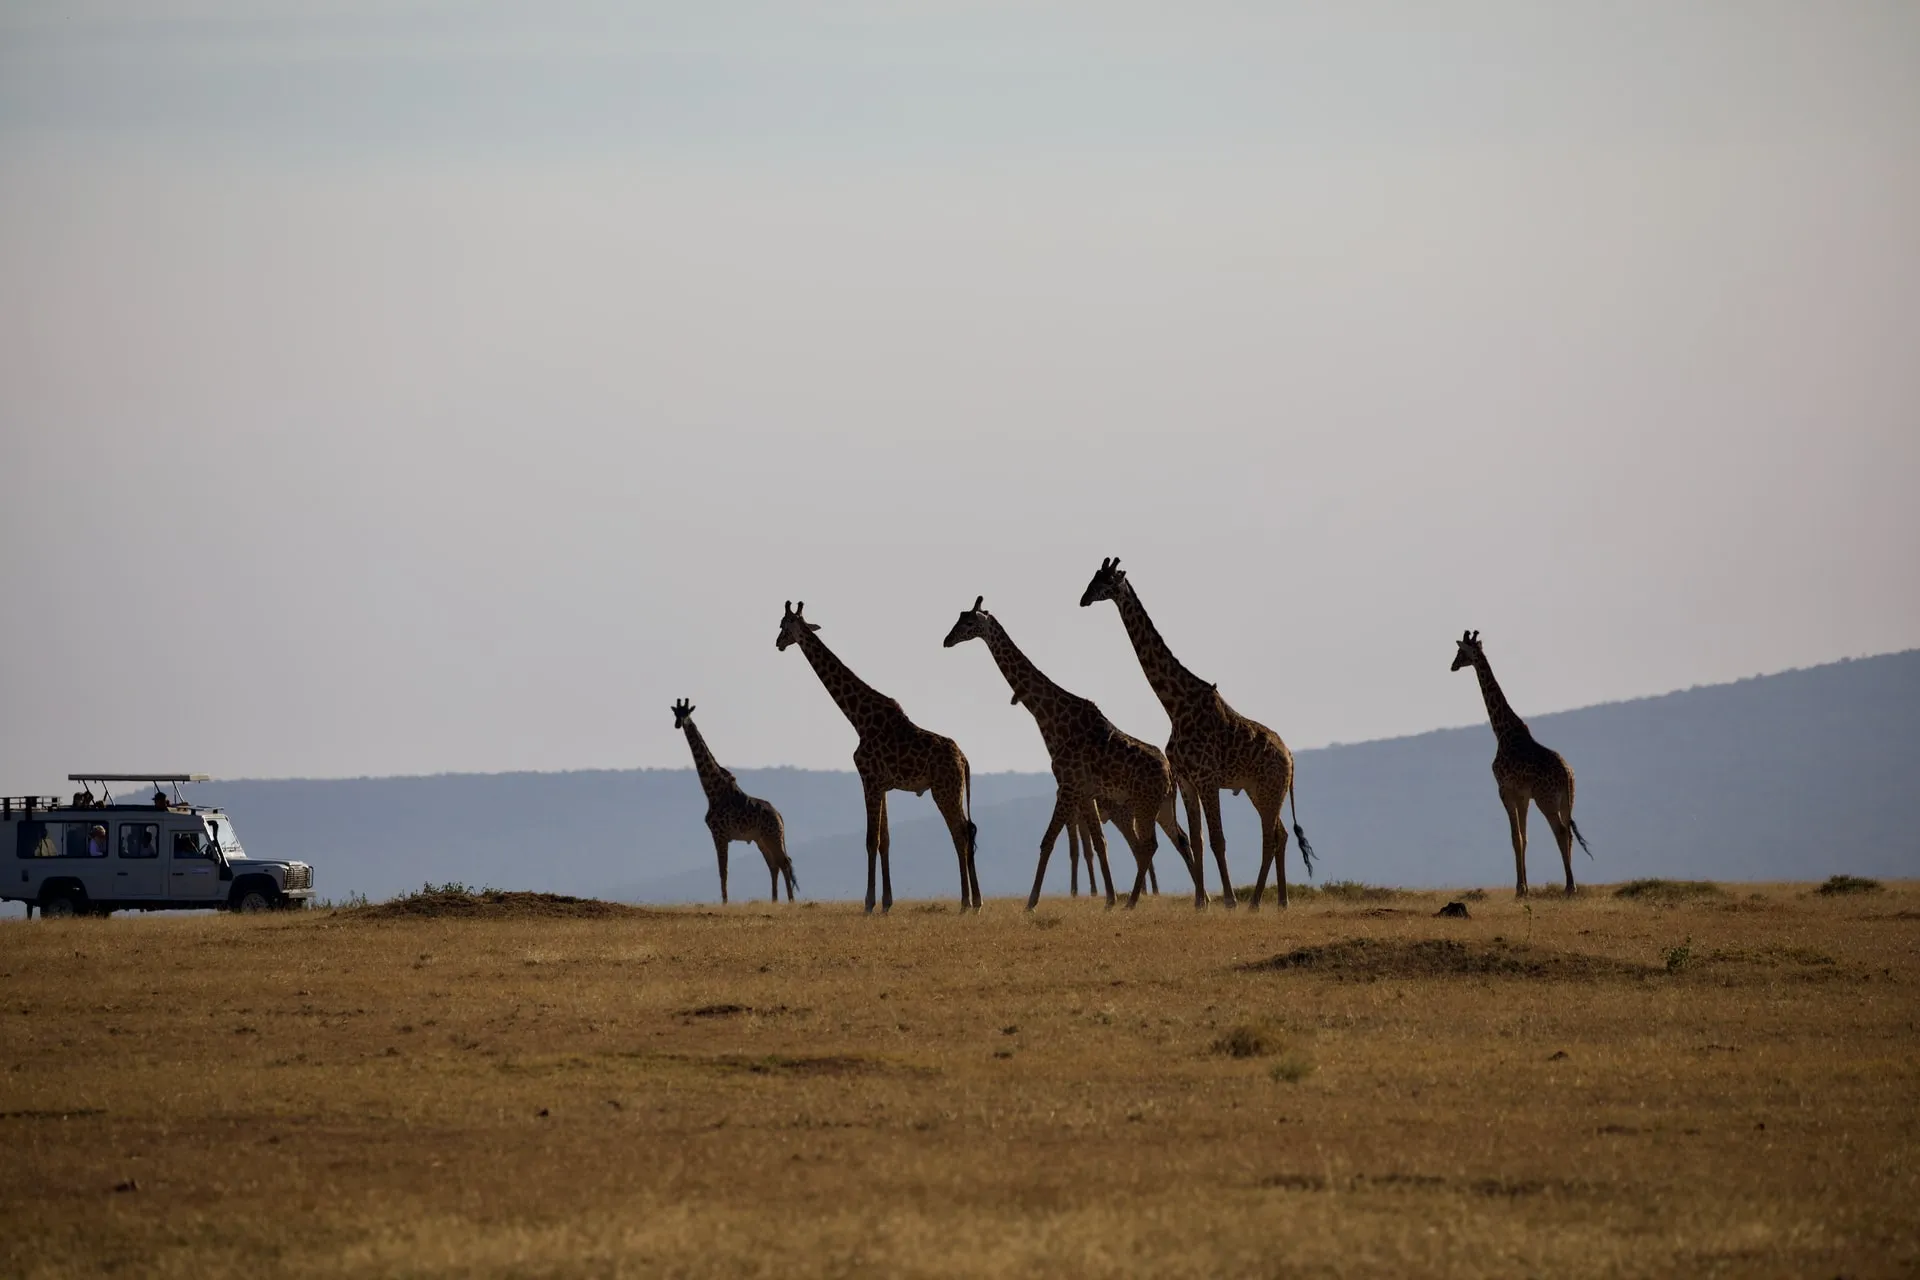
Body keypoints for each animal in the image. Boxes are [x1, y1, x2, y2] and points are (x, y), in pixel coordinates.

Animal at [671, 699, 797, 904]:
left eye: (687, 712)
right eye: (676, 713)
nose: (679, 724)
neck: (712, 791)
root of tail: (779, 816)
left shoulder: (720, 834)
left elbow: (723, 870)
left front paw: (724, 903)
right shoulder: (719, 835)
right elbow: (723, 871)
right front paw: (724, 901)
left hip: (772, 836)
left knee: (784, 862)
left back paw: (790, 901)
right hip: (762, 839)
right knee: (774, 865)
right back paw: (774, 900)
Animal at [776, 601, 980, 913]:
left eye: (783, 625)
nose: (777, 643)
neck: (858, 719)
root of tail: (964, 759)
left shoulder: (868, 779)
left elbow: (871, 840)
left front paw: (869, 903)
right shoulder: (883, 785)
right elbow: (885, 840)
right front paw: (886, 902)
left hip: (944, 790)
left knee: (960, 833)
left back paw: (967, 902)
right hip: (953, 788)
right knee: (968, 830)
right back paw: (977, 900)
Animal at [943, 597, 1196, 909]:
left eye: (968, 622)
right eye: (958, 617)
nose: (946, 640)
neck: (1051, 717)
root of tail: (1170, 772)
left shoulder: (1068, 785)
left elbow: (1048, 840)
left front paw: (1031, 902)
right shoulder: (1084, 791)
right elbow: (1099, 842)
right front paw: (1109, 899)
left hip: (1145, 804)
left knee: (1149, 845)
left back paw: (1137, 901)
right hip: (1162, 805)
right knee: (1178, 839)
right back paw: (1202, 898)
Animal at [1079, 557, 1316, 908]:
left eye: (1106, 580)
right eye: (1093, 577)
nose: (1083, 599)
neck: (1175, 706)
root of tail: (1290, 757)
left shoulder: (1207, 778)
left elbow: (1218, 839)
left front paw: (1229, 900)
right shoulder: (1186, 780)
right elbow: (1197, 839)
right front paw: (1200, 903)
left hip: (1270, 789)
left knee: (1270, 836)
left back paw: (1255, 902)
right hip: (1258, 790)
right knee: (1281, 834)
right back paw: (1278, 901)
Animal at [1450, 630, 1592, 897]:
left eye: (1461, 652)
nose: (1452, 665)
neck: (1502, 732)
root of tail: (1567, 775)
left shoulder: (1505, 789)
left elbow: (1515, 837)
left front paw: (1520, 889)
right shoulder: (1523, 794)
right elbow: (1524, 837)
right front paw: (1524, 888)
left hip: (1546, 800)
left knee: (1560, 831)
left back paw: (1569, 886)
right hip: (1568, 800)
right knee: (1568, 832)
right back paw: (1571, 885)